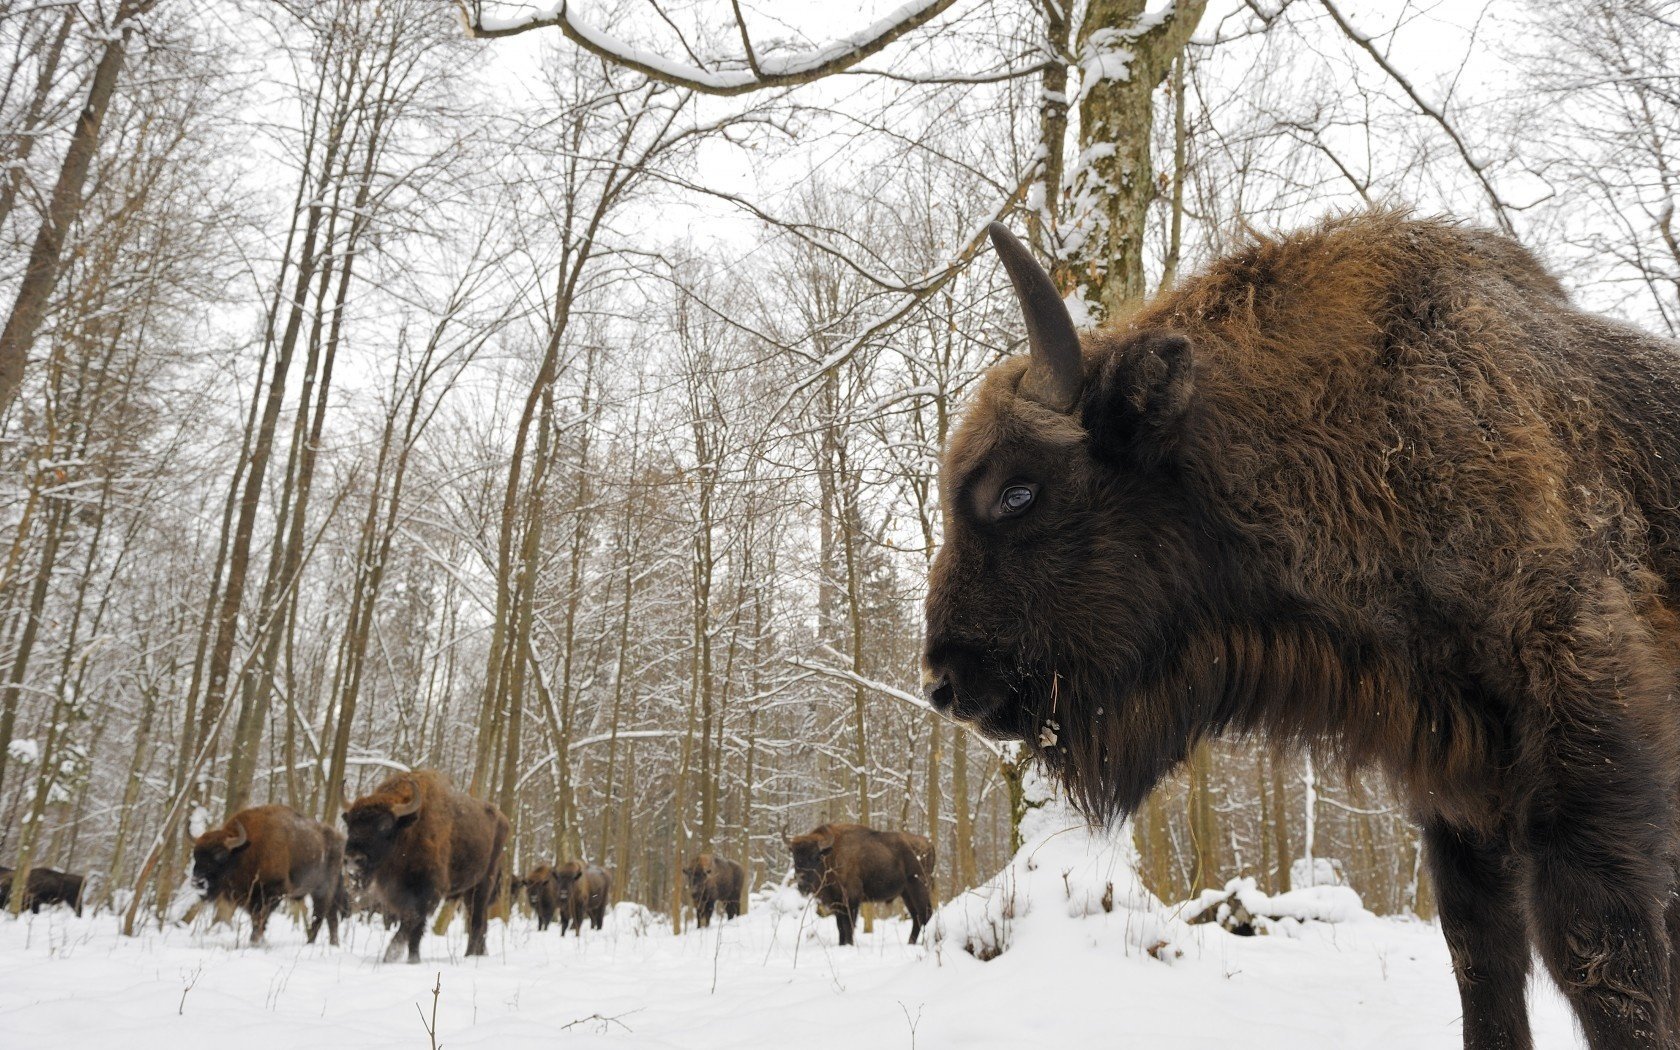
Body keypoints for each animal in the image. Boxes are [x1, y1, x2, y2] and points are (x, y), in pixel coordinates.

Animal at [191, 806, 347, 947]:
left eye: (221, 855)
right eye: (195, 855)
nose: (197, 882)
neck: (245, 851)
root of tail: (340, 840)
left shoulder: (273, 893)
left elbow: (260, 919)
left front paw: (255, 942)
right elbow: (256, 919)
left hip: (322, 891)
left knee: (320, 916)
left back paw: (310, 944)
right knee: (331, 917)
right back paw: (333, 944)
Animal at [337, 766, 500, 960]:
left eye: (385, 825)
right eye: (351, 824)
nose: (353, 859)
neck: (408, 831)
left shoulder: (427, 892)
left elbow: (412, 922)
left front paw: (391, 956)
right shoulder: (398, 893)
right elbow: (412, 928)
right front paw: (412, 958)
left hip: (482, 885)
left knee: (477, 921)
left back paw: (470, 956)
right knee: (478, 921)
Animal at [782, 823, 934, 947]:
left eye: (816, 856)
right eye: (795, 856)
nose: (800, 879)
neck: (832, 855)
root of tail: (928, 844)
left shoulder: (851, 901)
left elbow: (848, 925)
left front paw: (849, 944)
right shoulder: (837, 903)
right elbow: (840, 926)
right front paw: (841, 945)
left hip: (918, 887)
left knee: (924, 913)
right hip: (906, 893)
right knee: (916, 916)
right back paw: (911, 943)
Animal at [927, 215, 1680, 1048]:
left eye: (1017, 493)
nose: (943, 680)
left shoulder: (1589, 757)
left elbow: (1598, 959)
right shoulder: (1461, 798)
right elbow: (1482, 958)